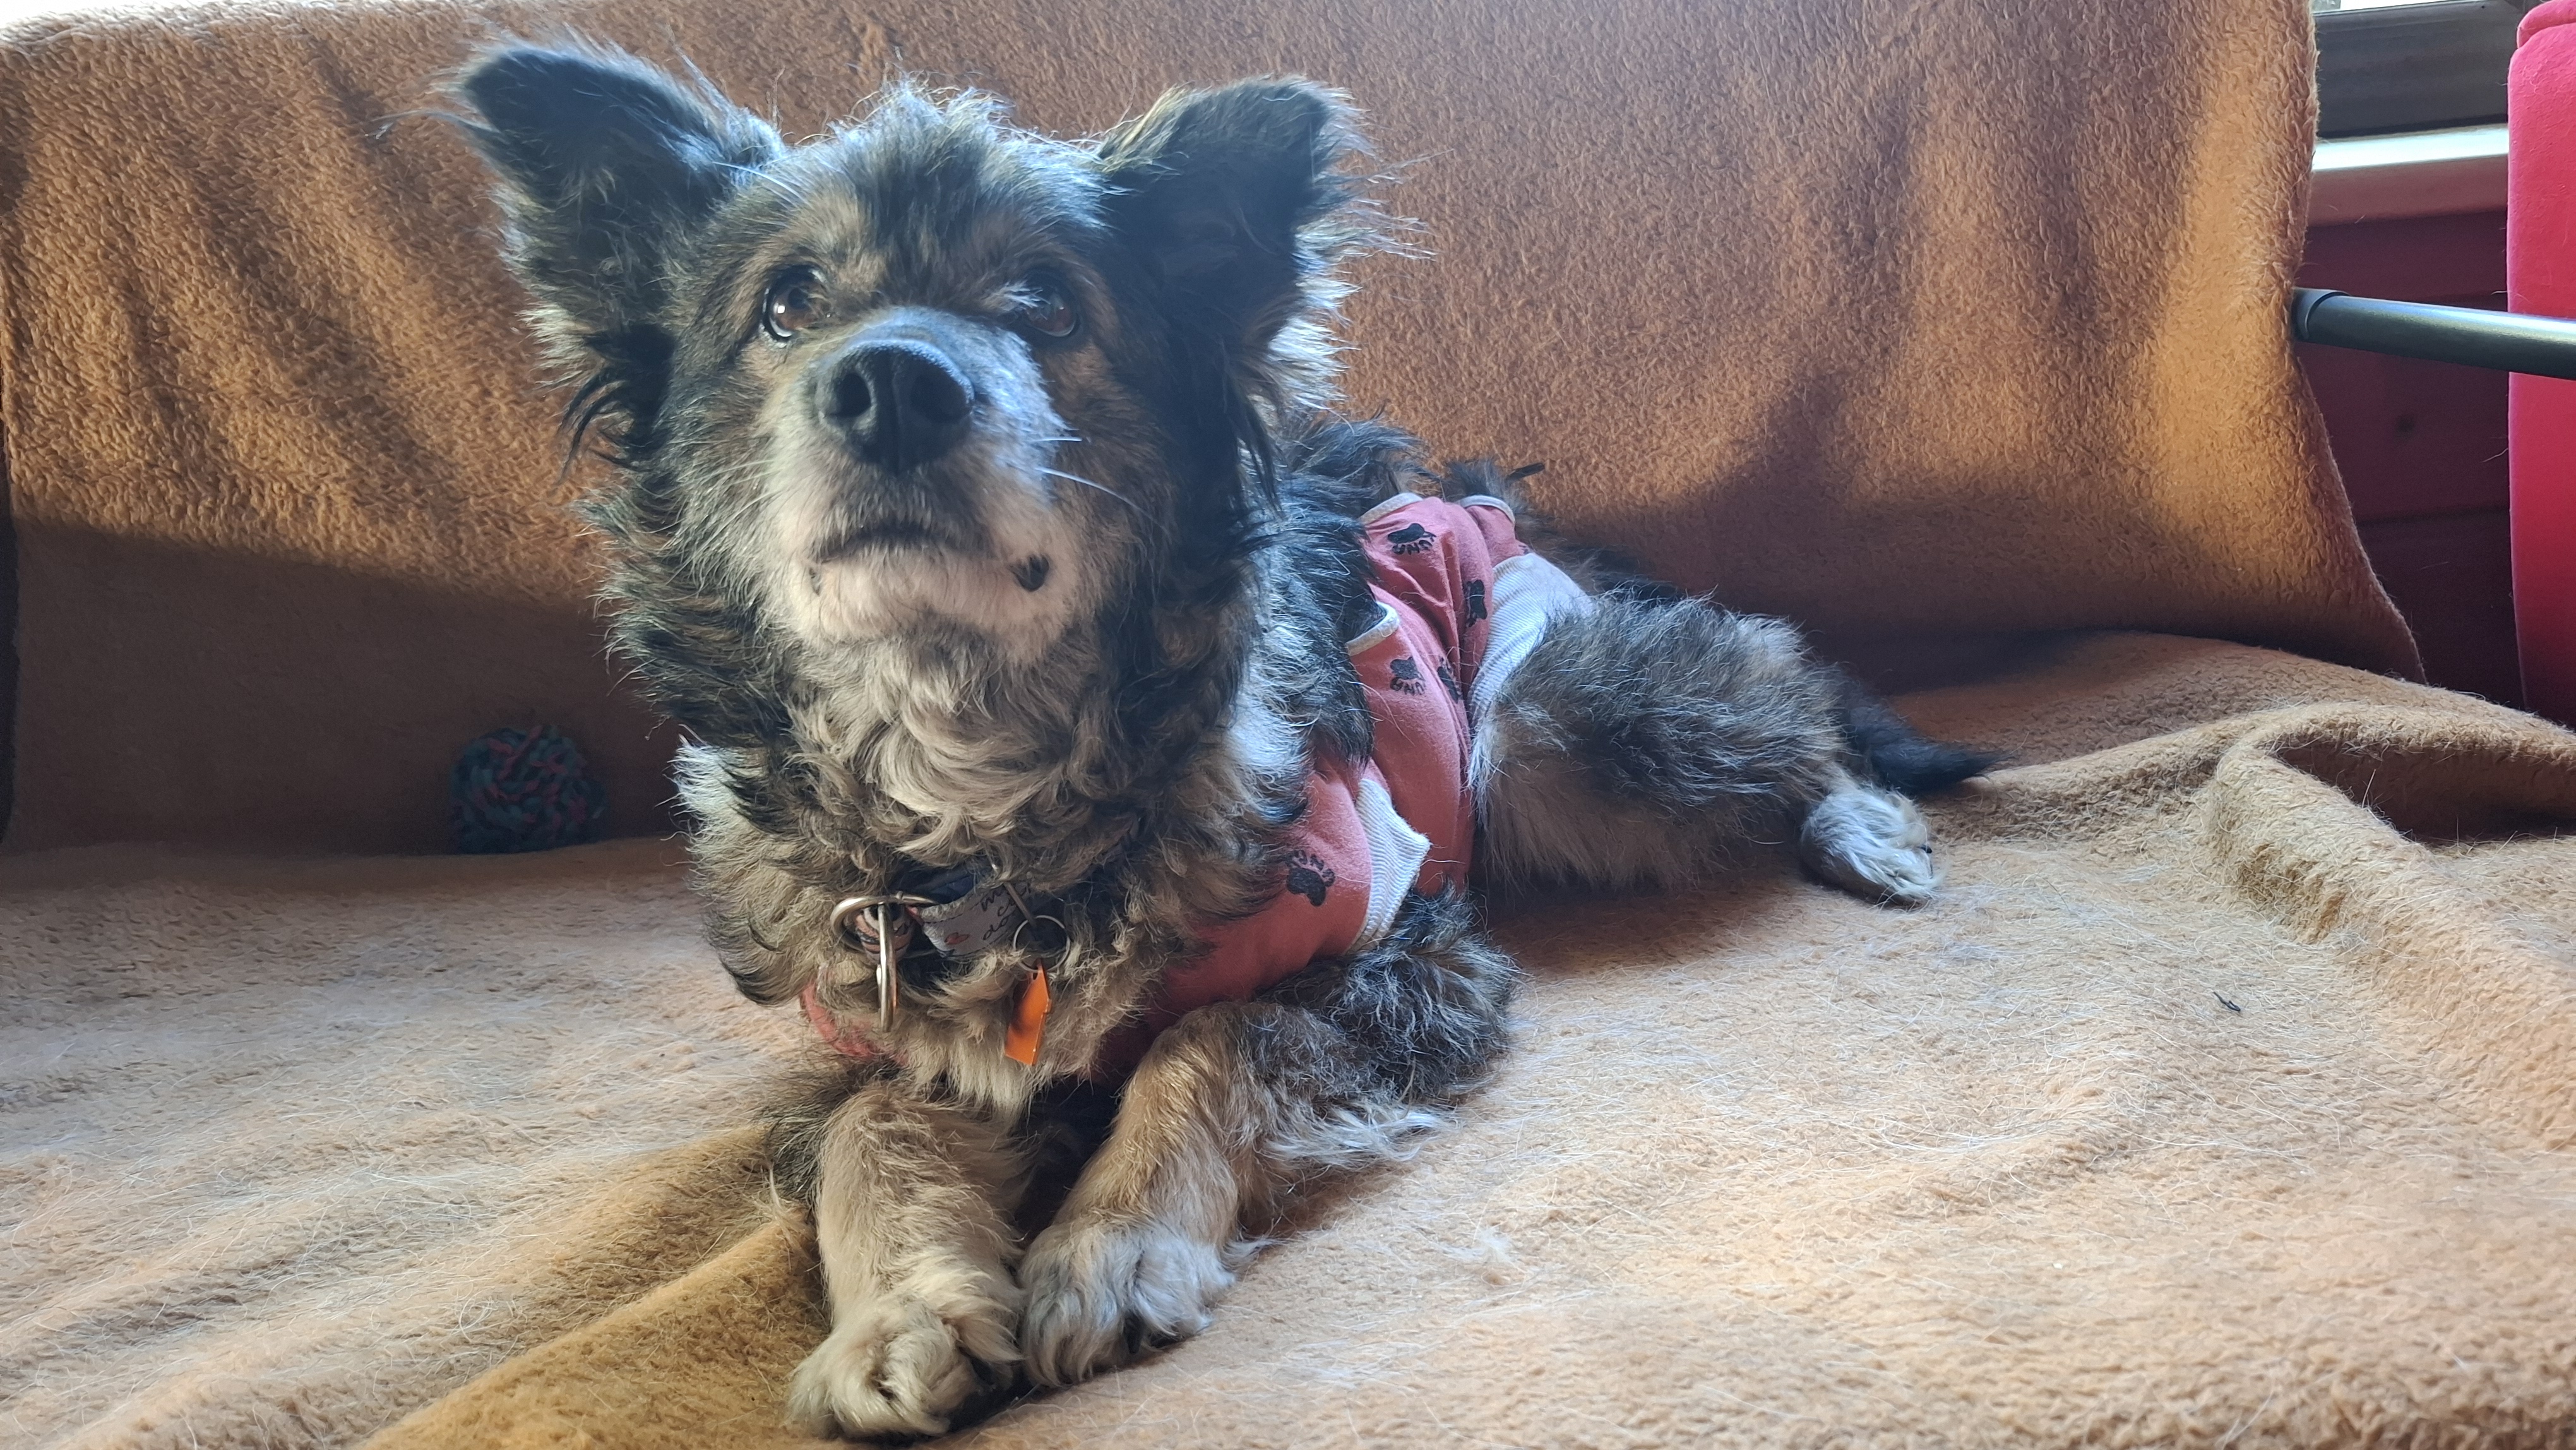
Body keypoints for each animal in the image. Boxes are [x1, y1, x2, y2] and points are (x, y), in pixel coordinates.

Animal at [453, 42, 1990, 1439]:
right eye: (786, 303)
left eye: (1045, 304)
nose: (892, 383)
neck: (984, 789)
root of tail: (1509, 513)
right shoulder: (873, 1039)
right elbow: (864, 1133)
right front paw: (897, 1317)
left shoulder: (1413, 951)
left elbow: (1218, 1039)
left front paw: (1112, 1244)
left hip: (1544, 725)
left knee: (1792, 699)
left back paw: (1870, 829)